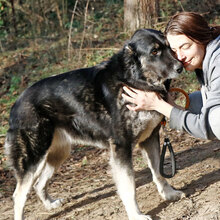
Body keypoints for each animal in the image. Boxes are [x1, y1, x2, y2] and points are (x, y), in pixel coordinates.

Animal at [4, 29, 184, 220]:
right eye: (154, 51)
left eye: (170, 48)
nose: (180, 67)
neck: (133, 79)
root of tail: (16, 104)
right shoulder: (121, 148)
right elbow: (129, 187)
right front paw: (136, 214)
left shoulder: (150, 139)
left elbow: (158, 173)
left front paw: (169, 194)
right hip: (34, 158)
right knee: (19, 195)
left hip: (58, 153)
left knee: (38, 184)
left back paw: (50, 204)